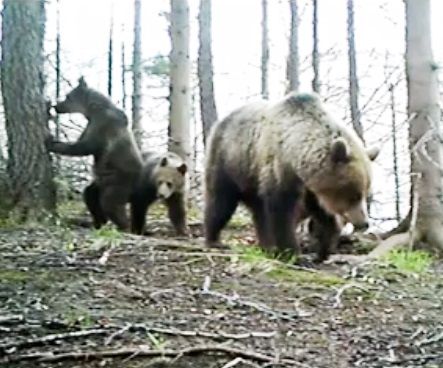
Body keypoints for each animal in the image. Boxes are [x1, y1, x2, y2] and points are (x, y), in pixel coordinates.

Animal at [45, 77, 143, 230]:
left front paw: (51, 142)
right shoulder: (90, 125)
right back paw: (98, 223)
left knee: (110, 203)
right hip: (102, 182)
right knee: (90, 195)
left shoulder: (101, 125)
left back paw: (123, 227)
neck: (93, 110)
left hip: (119, 181)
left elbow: (85, 147)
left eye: (67, 96)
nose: (56, 106)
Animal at [206, 94, 380, 262]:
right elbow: (281, 213)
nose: (364, 223)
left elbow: (321, 215)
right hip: (231, 161)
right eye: (354, 195)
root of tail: (222, 120)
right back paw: (214, 240)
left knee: (257, 211)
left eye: (366, 193)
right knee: (221, 200)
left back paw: (266, 246)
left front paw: (322, 251)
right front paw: (292, 253)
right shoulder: (279, 172)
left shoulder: (311, 189)